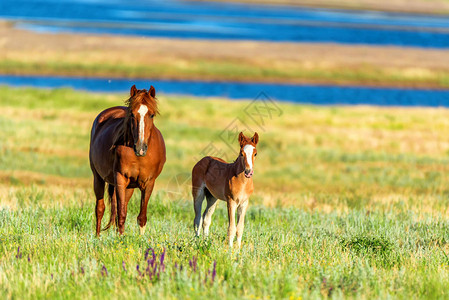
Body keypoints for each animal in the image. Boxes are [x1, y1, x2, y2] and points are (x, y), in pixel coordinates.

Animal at [88, 85, 165, 237]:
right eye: (132, 115)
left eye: (152, 115)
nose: (140, 148)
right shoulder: (120, 178)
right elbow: (121, 213)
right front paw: (121, 238)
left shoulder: (149, 183)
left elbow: (141, 216)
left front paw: (141, 239)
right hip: (98, 178)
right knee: (100, 209)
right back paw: (97, 237)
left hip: (129, 187)